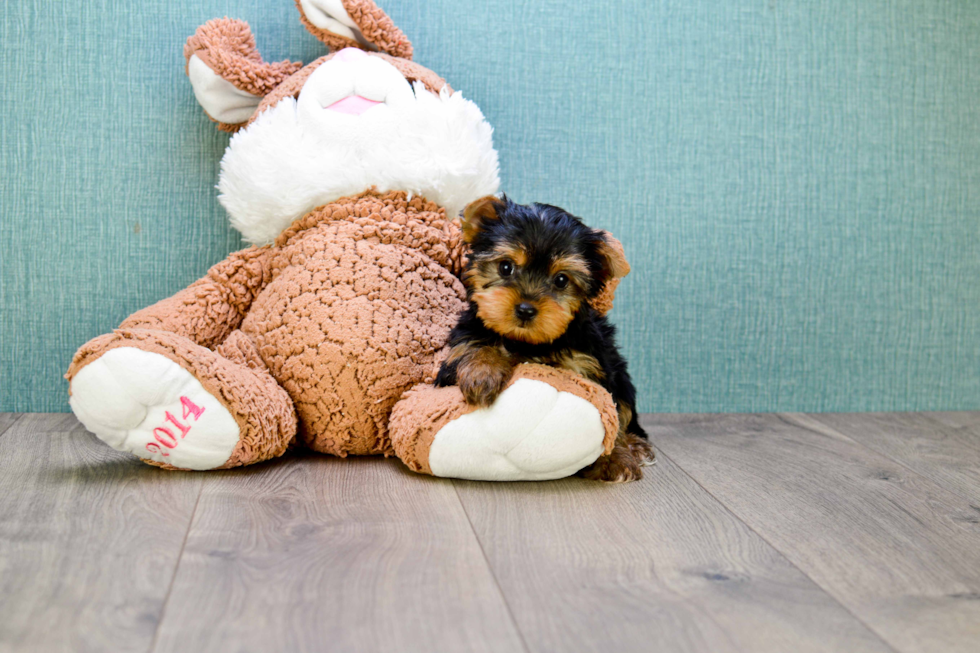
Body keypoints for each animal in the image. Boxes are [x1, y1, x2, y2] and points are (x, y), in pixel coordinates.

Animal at [432, 196, 656, 482]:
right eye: (505, 267)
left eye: (561, 280)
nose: (526, 309)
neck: (525, 341)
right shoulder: (463, 341)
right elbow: (477, 346)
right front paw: (482, 374)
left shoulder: (590, 365)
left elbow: (609, 410)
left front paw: (612, 457)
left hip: (622, 375)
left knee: (626, 410)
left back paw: (636, 445)